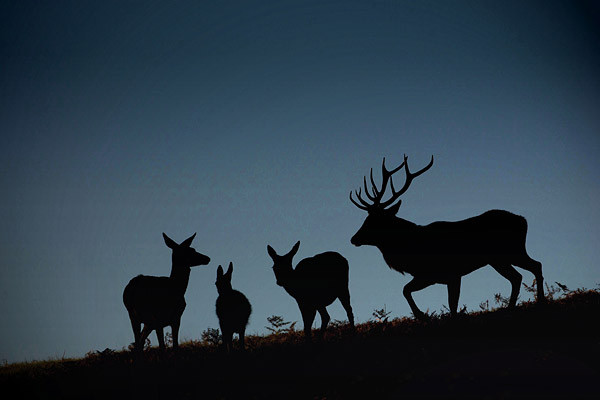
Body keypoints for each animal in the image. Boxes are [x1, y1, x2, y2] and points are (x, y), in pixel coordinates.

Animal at [350, 155, 548, 320]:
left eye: (374, 222)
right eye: (366, 219)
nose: (353, 239)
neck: (410, 251)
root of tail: (523, 221)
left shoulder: (449, 273)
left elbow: (449, 304)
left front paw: (422, 315)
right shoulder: (434, 276)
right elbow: (408, 290)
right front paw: (423, 315)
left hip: (508, 253)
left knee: (532, 268)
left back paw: (538, 302)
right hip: (502, 257)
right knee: (521, 274)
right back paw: (515, 307)